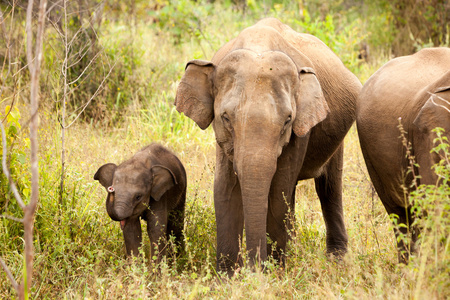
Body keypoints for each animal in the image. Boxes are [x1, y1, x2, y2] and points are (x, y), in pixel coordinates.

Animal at [174, 17, 360, 274]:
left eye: (288, 120)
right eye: (225, 117)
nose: (254, 268)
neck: (258, 45)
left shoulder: (300, 131)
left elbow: (278, 191)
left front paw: (273, 272)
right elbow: (225, 190)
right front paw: (227, 276)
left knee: (329, 188)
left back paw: (336, 259)